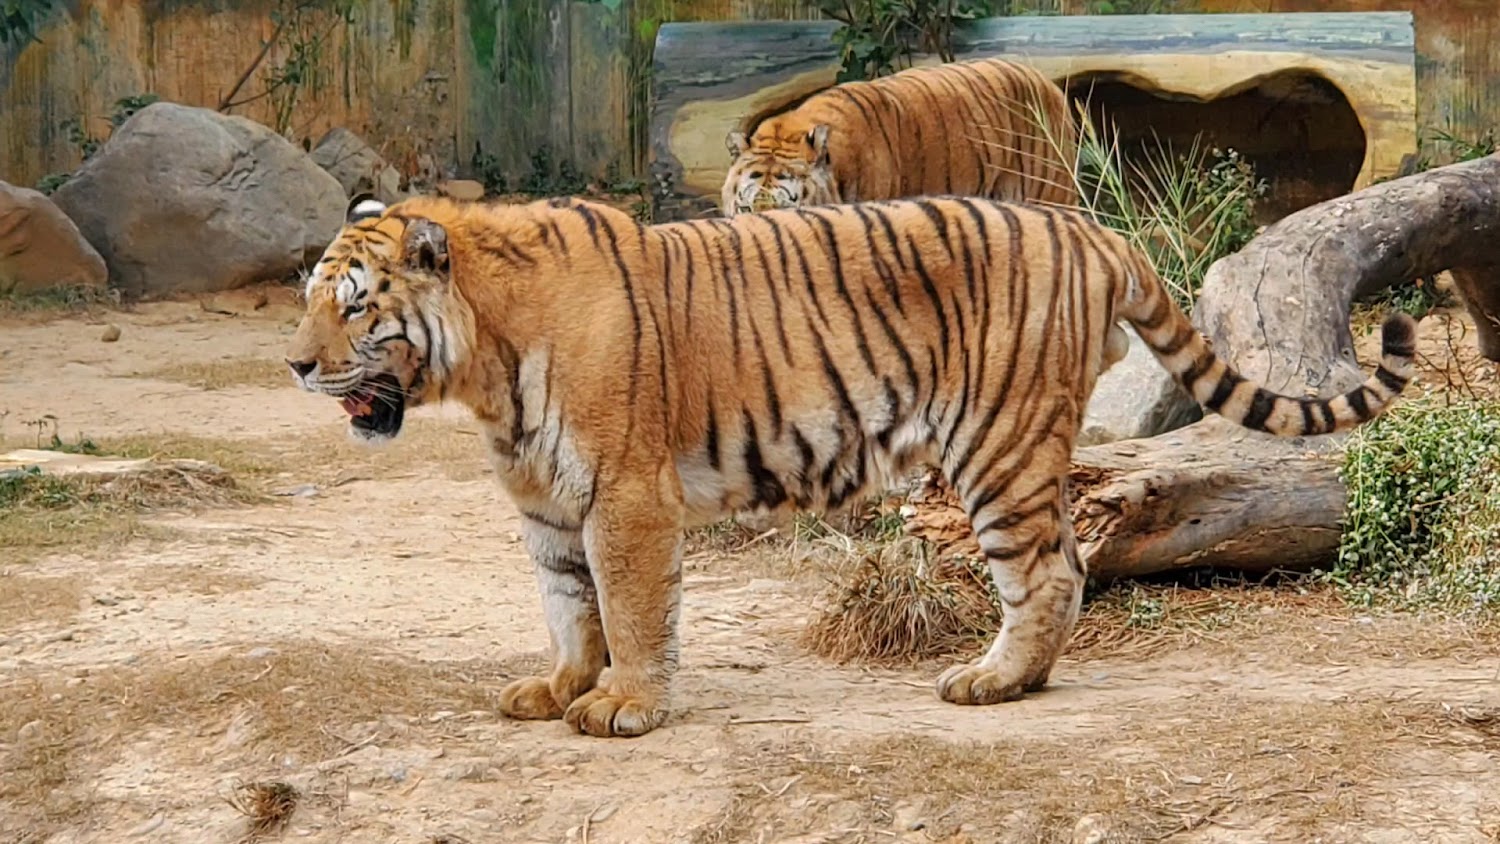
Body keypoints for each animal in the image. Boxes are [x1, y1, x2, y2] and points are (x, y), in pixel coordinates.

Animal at [286, 191, 1416, 739]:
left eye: (354, 303)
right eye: (308, 299)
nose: (295, 363)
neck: (482, 364)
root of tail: (1089, 229)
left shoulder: (625, 494)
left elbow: (634, 609)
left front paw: (626, 707)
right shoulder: (546, 501)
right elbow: (570, 605)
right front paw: (561, 685)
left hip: (995, 446)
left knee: (1049, 571)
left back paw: (992, 682)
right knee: (1066, 565)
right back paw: (1023, 679)